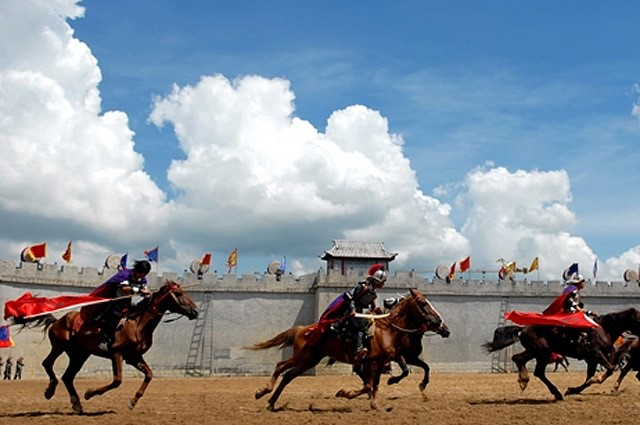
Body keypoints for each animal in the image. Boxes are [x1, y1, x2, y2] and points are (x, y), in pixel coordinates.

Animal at [22, 280, 198, 412]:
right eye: (179, 294)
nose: (195, 311)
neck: (137, 323)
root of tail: (58, 320)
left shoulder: (133, 357)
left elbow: (149, 374)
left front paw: (132, 402)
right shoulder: (116, 354)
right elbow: (117, 381)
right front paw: (89, 393)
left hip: (80, 355)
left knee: (67, 376)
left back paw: (76, 404)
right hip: (59, 346)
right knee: (47, 364)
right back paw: (50, 391)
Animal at [248, 286, 448, 410]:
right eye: (423, 303)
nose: (443, 326)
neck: (388, 330)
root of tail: (303, 329)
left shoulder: (382, 361)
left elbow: (374, 384)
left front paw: (375, 404)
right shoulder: (376, 362)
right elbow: (369, 385)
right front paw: (345, 393)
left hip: (310, 360)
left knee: (288, 375)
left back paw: (271, 403)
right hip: (303, 357)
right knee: (281, 366)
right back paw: (262, 392)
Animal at [482, 306, 640, 400]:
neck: (603, 329)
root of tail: (522, 329)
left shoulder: (592, 360)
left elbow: (589, 378)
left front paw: (573, 390)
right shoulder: (595, 354)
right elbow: (609, 369)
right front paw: (596, 380)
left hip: (536, 352)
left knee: (522, 361)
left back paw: (537, 385)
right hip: (541, 352)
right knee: (532, 368)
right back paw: (534, 383)